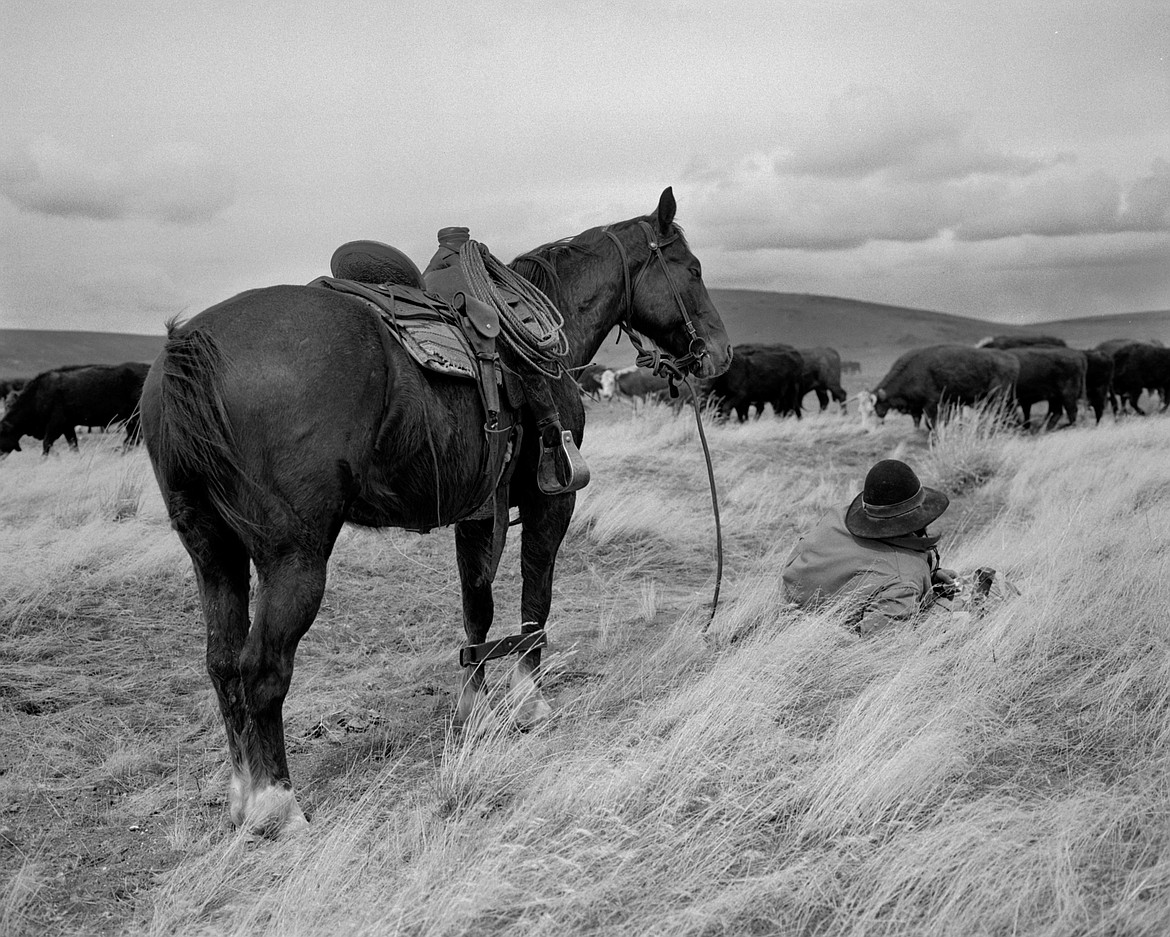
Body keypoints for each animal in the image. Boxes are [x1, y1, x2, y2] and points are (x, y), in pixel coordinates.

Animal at [0, 360, 150, 456]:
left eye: (2, 434)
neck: (38, 394)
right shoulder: (67, 427)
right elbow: (73, 445)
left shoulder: (55, 425)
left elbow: (46, 444)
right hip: (130, 421)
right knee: (132, 439)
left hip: (133, 420)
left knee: (133, 439)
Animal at [139, 184, 730, 832]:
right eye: (693, 269)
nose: (719, 353)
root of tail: (191, 346)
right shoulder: (552, 504)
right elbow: (535, 598)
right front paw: (529, 701)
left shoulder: (475, 515)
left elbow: (477, 610)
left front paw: (472, 708)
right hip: (293, 558)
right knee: (261, 669)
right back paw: (277, 804)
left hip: (212, 552)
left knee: (223, 664)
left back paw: (244, 796)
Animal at [875, 346, 1020, 430]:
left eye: (877, 406)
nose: (878, 421)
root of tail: (1012, 360)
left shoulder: (932, 404)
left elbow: (933, 422)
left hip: (998, 398)